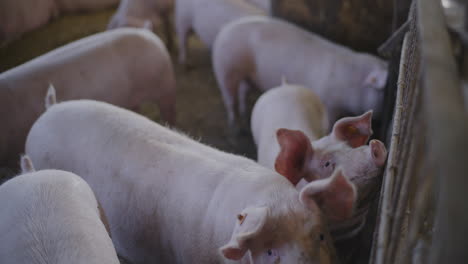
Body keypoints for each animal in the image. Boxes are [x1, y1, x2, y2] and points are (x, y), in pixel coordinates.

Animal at [214, 16, 390, 126]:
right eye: (383, 89)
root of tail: (225, 29)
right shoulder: (329, 104)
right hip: (226, 68)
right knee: (229, 98)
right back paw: (233, 122)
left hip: (246, 75)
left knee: (242, 91)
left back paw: (243, 114)